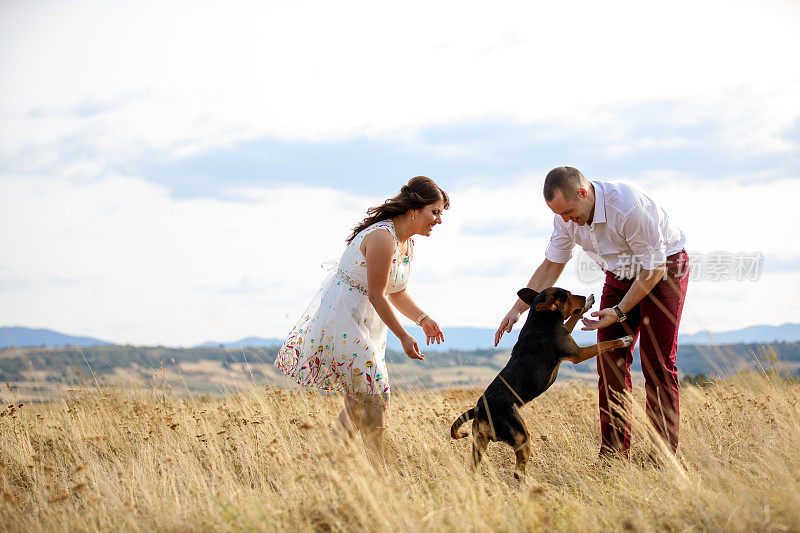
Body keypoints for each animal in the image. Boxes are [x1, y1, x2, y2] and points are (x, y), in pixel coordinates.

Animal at [450, 286, 632, 478]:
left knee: (473, 469)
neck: (540, 318)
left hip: (479, 443)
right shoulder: (577, 353)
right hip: (522, 437)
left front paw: (588, 303)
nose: (584, 297)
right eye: (568, 295)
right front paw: (623, 340)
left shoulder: (566, 332)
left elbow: (572, 320)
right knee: (518, 472)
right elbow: (604, 344)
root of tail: (479, 408)